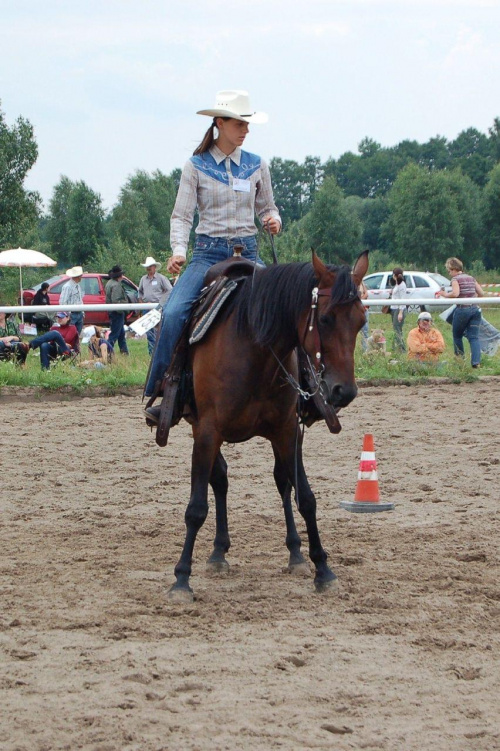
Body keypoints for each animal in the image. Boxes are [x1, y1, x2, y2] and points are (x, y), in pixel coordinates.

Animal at [166, 250, 366, 604]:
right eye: (325, 318)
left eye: (361, 321)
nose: (344, 391)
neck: (253, 346)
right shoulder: (207, 432)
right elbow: (196, 508)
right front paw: (181, 580)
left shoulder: (287, 431)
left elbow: (305, 498)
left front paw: (322, 569)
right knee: (220, 480)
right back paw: (218, 553)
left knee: (281, 482)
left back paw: (295, 554)